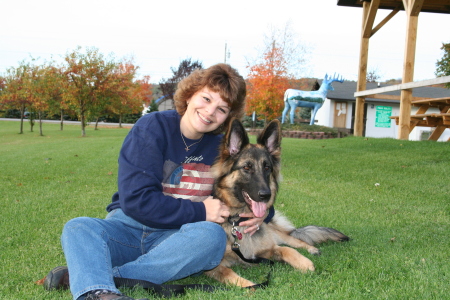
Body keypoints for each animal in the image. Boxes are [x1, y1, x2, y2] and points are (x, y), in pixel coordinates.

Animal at [204, 118, 348, 288]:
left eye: (267, 167)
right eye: (246, 167)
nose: (266, 195)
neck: (239, 222)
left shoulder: (268, 249)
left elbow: (287, 250)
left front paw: (305, 263)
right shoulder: (214, 266)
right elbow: (228, 273)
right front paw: (248, 285)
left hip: (279, 234)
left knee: (295, 241)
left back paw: (312, 249)